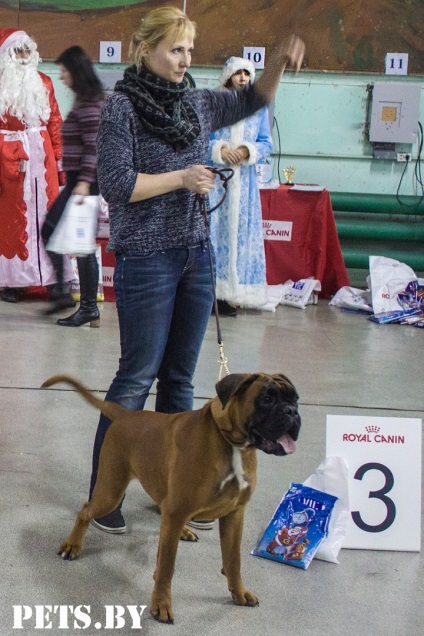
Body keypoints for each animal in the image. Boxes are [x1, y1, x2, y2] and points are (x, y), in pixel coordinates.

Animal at [43, 370, 300, 624]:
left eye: (295, 399)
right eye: (266, 399)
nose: (292, 412)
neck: (231, 442)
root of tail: (127, 415)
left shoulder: (234, 515)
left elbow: (233, 560)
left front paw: (239, 592)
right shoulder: (177, 512)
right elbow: (167, 567)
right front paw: (161, 604)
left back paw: (184, 531)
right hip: (111, 492)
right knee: (86, 511)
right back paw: (72, 545)